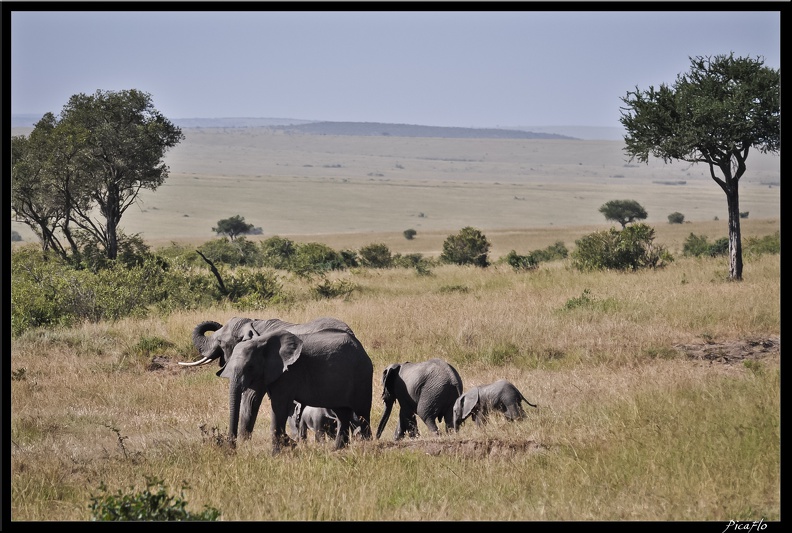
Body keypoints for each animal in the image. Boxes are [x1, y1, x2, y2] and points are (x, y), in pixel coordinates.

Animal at [181, 316, 372, 454]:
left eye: (220, 342)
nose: (231, 449)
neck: (253, 324)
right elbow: (254, 400)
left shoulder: (286, 371)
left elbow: (258, 400)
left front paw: (275, 450)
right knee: (342, 413)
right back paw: (338, 449)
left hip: (361, 375)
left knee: (362, 412)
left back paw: (367, 447)